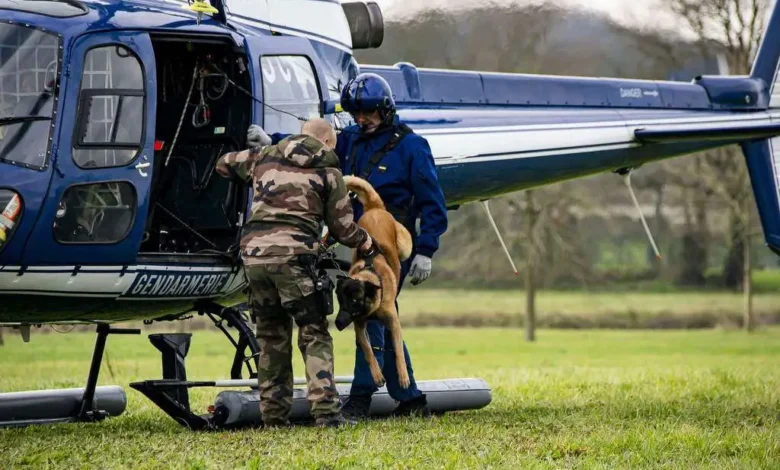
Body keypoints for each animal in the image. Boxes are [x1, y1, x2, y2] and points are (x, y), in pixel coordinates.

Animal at [334, 174, 414, 388]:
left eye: (354, 300)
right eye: (340, 300)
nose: (337, 323)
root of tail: (374, 208)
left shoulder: (393, 322)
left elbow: (397, 350)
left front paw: (403, 376)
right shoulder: (359, 325)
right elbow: (368, 351)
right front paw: (377, 376)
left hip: (405, 245)